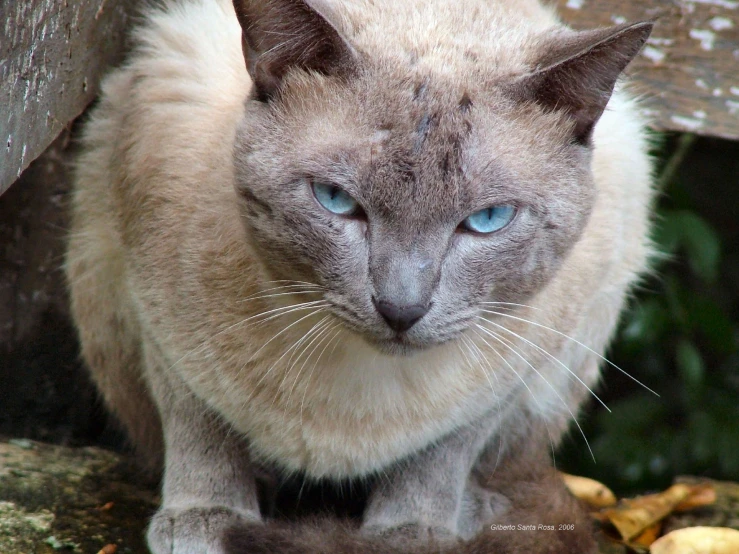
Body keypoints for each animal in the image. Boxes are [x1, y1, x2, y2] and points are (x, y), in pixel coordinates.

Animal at [63, 0, 652, 548]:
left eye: (487, 220)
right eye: (336, 200)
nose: (401, 310)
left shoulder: (511, 372)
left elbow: (440, 456)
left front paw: (412, 534)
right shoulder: (163, 329)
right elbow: (201, 429)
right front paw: (208, 520)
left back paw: (474, 513)